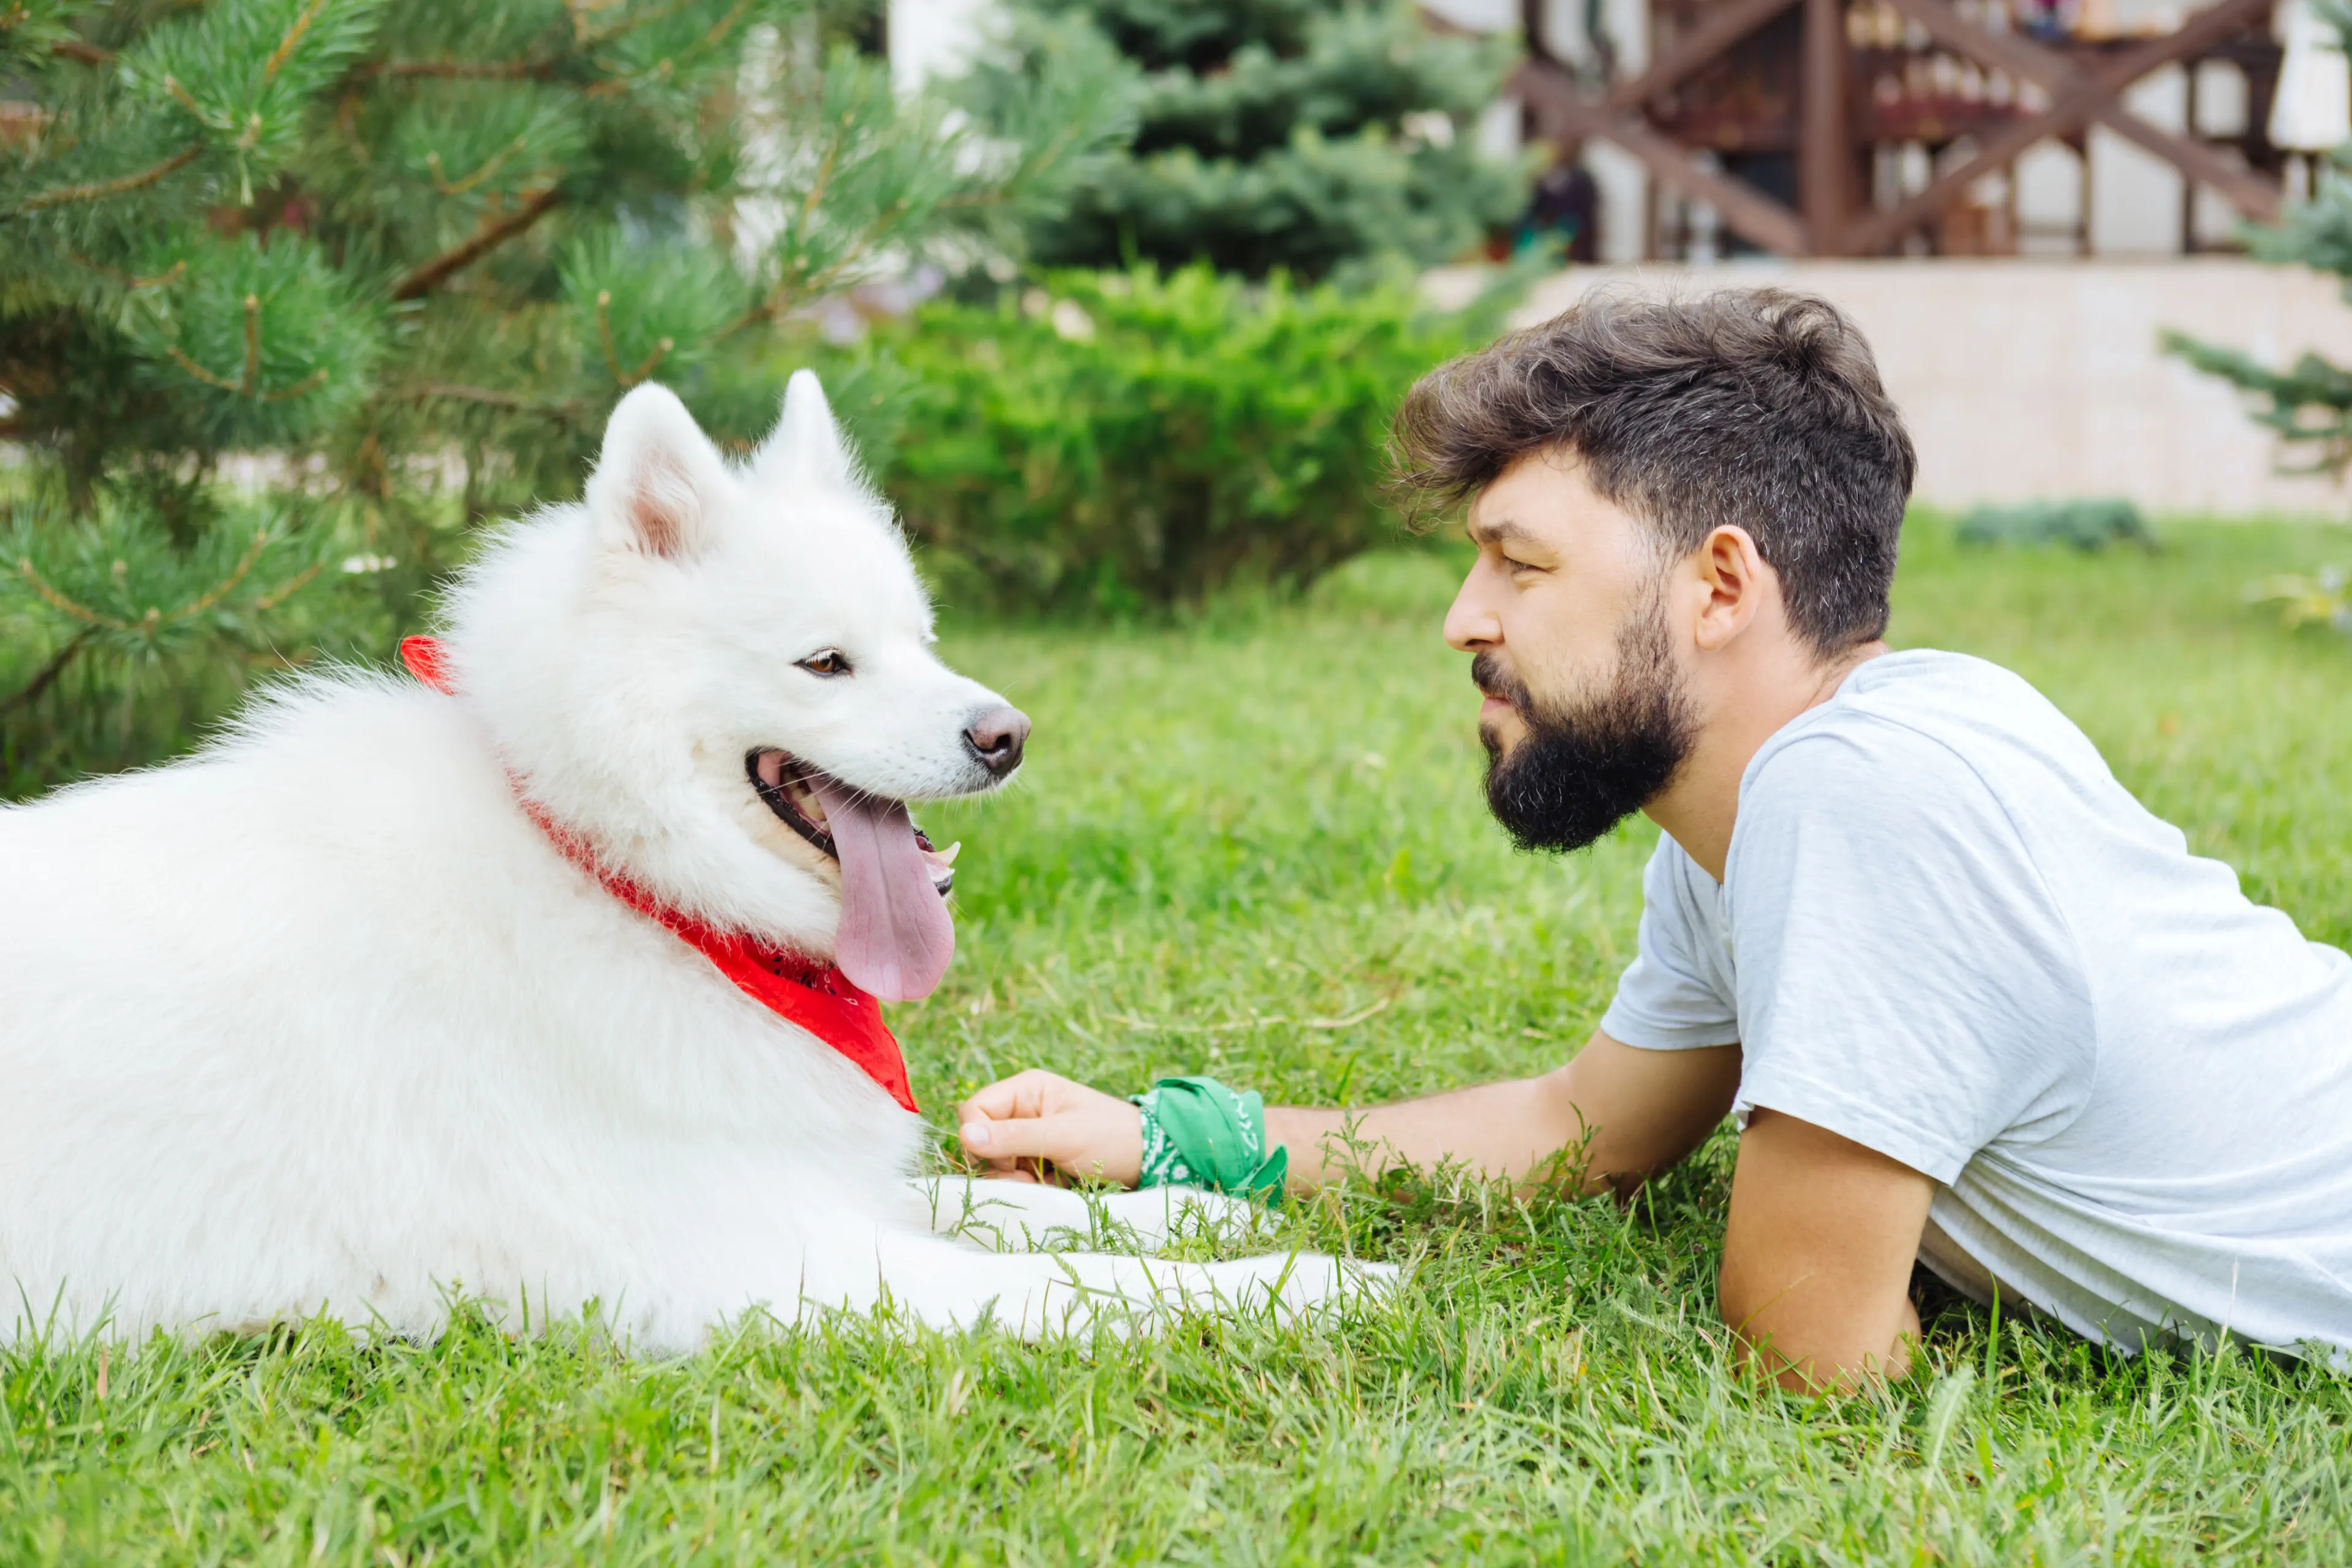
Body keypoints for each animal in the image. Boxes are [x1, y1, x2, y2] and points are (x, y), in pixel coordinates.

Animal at [0, 371, 1373, 1354]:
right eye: (826, 662)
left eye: (923, 639)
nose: (1007, 736)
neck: (609, 869)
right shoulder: (757, 1259)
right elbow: (1081, 1288)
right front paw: (1311, 1282)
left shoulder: (802, 1181)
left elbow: (1016, 1204)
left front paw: (1190, 1205)